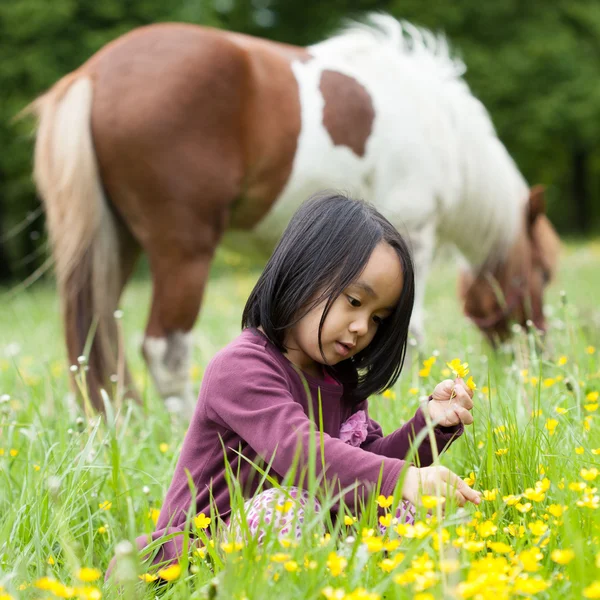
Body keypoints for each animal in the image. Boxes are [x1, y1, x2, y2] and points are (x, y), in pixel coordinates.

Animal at [24, 15, 556, 418]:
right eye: (546, 273)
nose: (541, 360)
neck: (441, 126)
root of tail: (94, 73)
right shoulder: (413, 235)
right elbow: (416, 331)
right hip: (182, 250)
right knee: (164, 350)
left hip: (118, 247)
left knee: (96, 348)